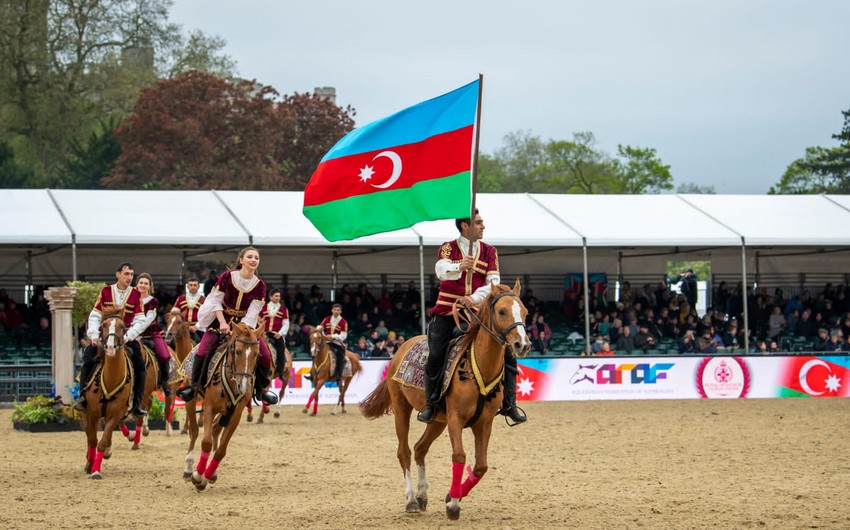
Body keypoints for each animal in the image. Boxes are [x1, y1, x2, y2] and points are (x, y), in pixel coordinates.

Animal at [83, 312, 135, 476]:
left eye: (122, 327)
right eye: (103, 326)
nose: (111, 347)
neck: (110, 379)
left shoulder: (115, 414)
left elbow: (103, 440)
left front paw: (96, 470)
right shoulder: (91, 412)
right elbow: (92, 439)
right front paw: (89, 464)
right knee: (89, 434)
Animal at [187, 320, 264, 488]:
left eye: (257, 354)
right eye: (238, 351)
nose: (244, 387)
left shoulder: (235, 415)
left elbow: (221, 449)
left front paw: (208, 474)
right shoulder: (209, 407)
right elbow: (206, 442)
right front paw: (198, 476)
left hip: (223, 413)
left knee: (215, 430)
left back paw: (211, 473)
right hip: (191, 399)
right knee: (194, 431)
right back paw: (188, 468)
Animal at [360, 278, 528, 516]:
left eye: (525, 312)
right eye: (502, 311)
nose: (522, 345)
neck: (478, 366)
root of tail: (403, 346)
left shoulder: (484, 423)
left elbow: (481, 466)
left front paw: (451, 496)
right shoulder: (455, 419)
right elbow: (459, 456)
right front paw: (453, 504)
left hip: (437, 421)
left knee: (420, 448)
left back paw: (422, 495)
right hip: (401, 409)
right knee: (404, 452)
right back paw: (411, 500)